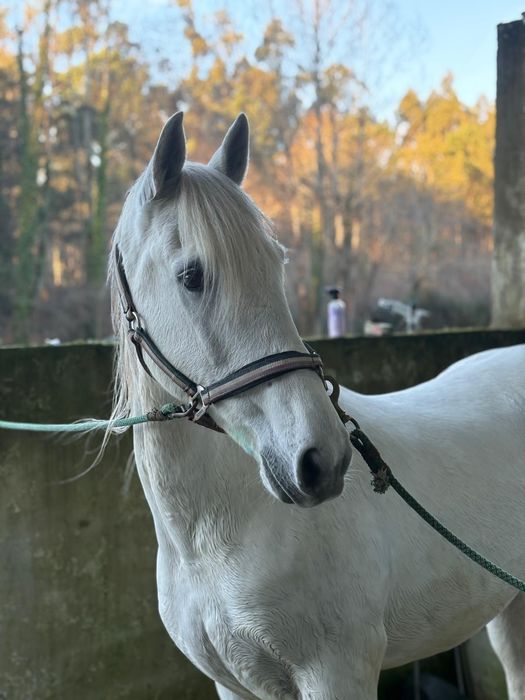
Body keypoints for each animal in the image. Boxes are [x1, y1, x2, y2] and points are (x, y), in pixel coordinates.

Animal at [109, 111, 525, 700]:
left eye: (276, 264)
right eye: (192, 275)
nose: (320, 461)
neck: (214, 537)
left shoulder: (336, 673)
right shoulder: (232, 686)